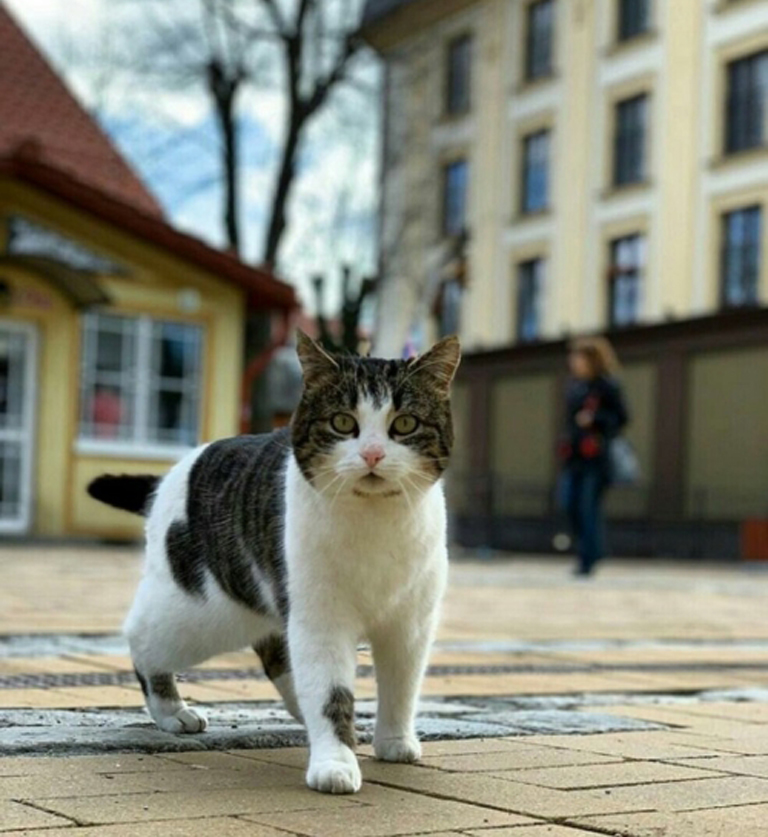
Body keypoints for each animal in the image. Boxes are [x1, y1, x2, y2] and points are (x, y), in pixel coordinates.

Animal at [90, 330, 462, 792]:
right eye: (343, 423)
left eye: (405, 424)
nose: (373, 454)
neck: (375, 523)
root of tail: (173, 474)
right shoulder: (321, 620)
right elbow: (330, 691)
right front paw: (335, 762)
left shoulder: (410, 624)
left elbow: (401, 686)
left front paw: (394, 740)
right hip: (200, 614)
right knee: (141, 637)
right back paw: (171, 711)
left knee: (277, 655)